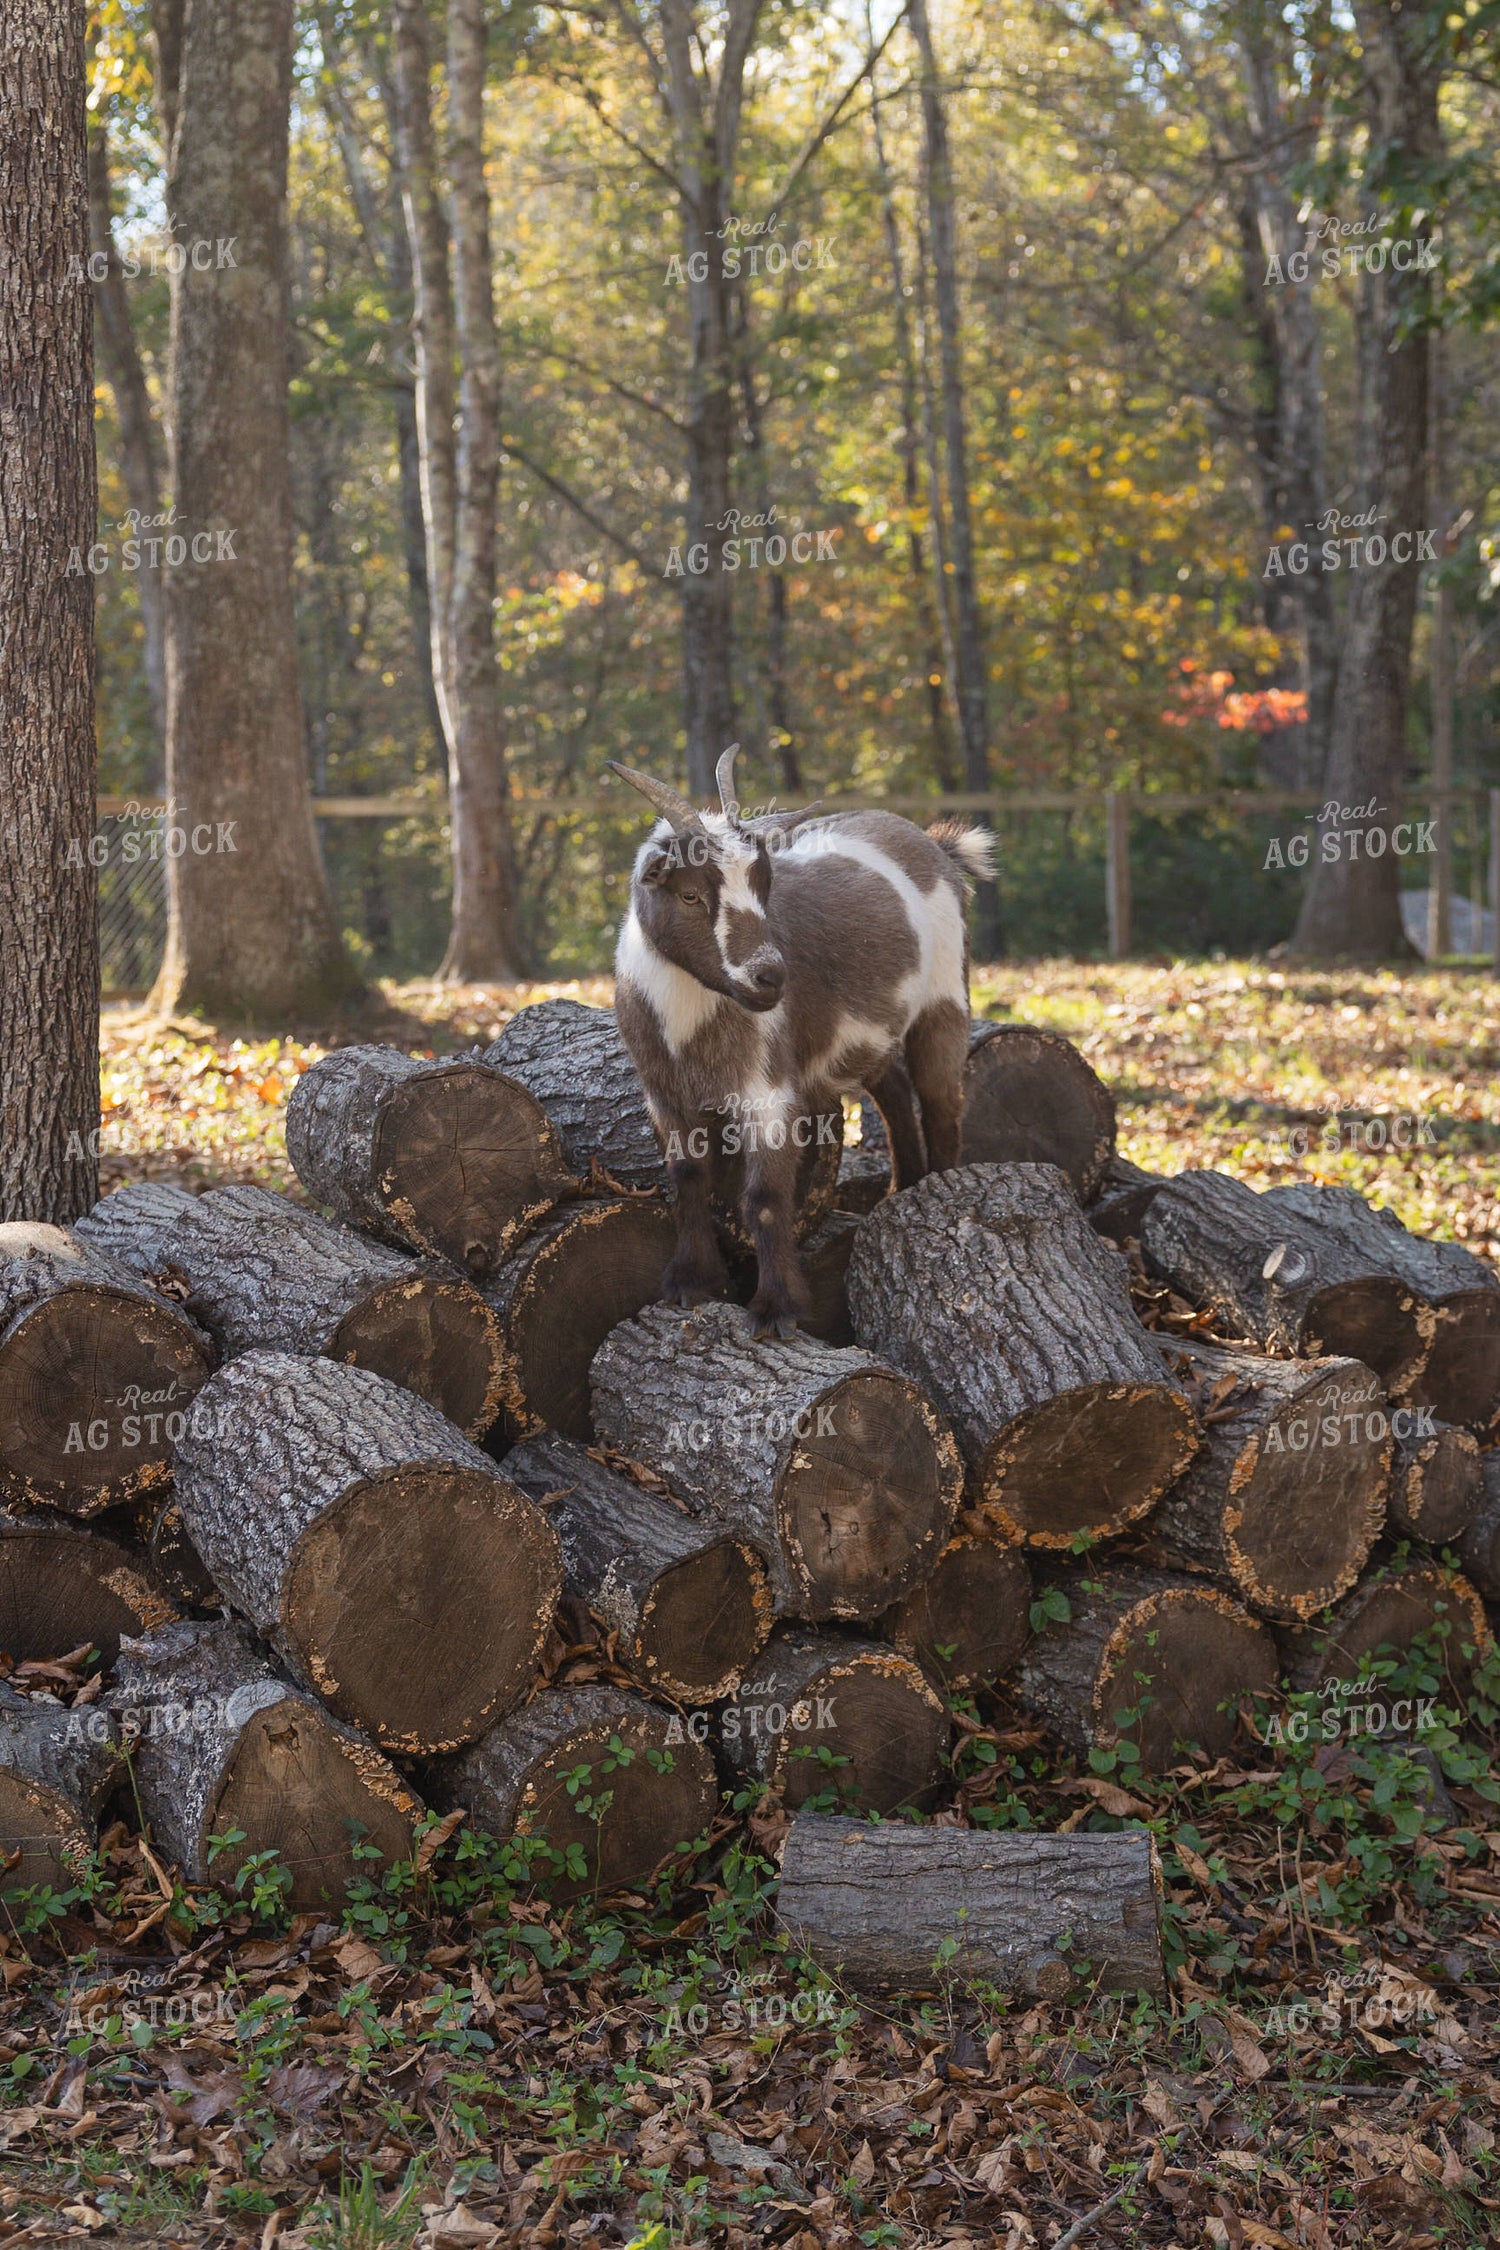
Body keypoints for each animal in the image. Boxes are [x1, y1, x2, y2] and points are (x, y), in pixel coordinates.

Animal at [609, 746, 993, 1335]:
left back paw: (935, 1188)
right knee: (893, 1088)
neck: (688, 1023)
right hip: (865, 1034)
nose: (770, 978)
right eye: (691, 893)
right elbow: (688, 1177)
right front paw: (691, 1283)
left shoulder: (766, 1089)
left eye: (764, 887)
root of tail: (934, 844)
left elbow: (765, 1197)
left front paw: (776, 1309)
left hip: (946, 994)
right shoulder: (664, 1094)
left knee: (940, 1100)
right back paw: (900, 1190)